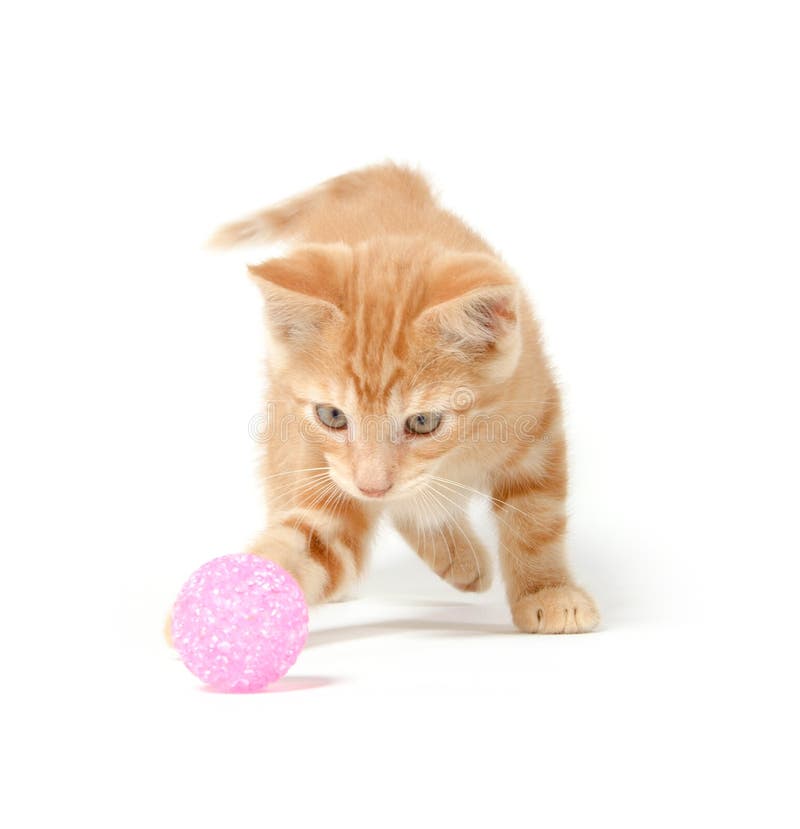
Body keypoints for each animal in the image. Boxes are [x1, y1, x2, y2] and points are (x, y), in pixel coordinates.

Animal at [212, 167, 600, 632]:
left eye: (422, 422)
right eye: (332, 416)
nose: (373, 486)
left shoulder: (536, 421)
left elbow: (535, 517)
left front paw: (548, 590)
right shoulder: (333, 473)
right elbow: (308, 543)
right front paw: (225, 608)